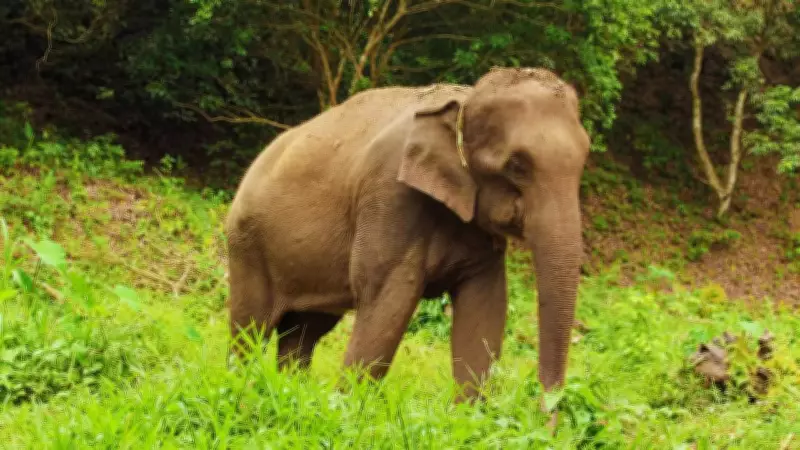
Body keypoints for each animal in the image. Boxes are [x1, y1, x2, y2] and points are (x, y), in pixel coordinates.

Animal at [225, 67, 589, 411]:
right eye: (516, 165)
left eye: (584, 158)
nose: (547, 415)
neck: (463, 101)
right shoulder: (390, 196)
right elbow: (388, 298)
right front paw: (347, 409)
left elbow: (485, 304)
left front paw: (468, 417)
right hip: (247, 246)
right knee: (250, 328)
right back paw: (240, 388)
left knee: (303, 331)